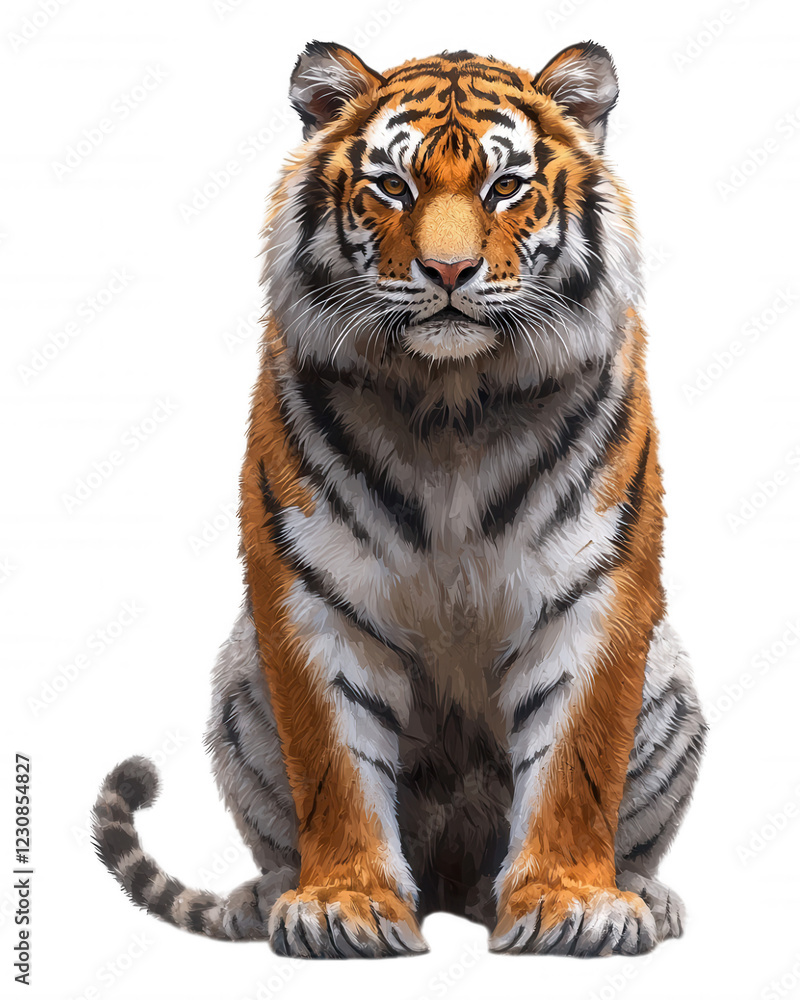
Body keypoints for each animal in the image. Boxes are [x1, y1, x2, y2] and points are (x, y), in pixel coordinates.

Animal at [93, 40, 706, 959]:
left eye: (505, 187)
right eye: (392, 186)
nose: (449, 271)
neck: (452, 401)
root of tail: (455, 891)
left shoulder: (596, 589)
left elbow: (575, 763)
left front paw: (573, 906)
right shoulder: (313, 592)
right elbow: (335, 765)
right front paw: (340, 906)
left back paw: (642, 895)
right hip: (239, 683)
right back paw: (276, 895)